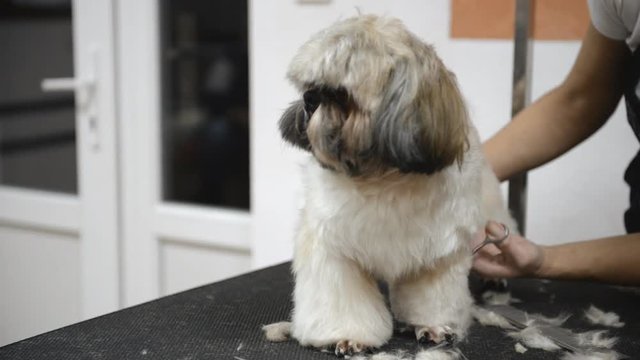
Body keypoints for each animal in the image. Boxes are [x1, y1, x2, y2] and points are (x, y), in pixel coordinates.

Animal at [276, 14, 516, 358]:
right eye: (310, 87)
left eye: (340, 95)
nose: (310, 100)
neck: (381, 179)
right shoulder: (333, 251)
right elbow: (341, 300)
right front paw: (345, 336)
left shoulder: (437, 255)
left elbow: (432, 297)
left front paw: (433, 327)